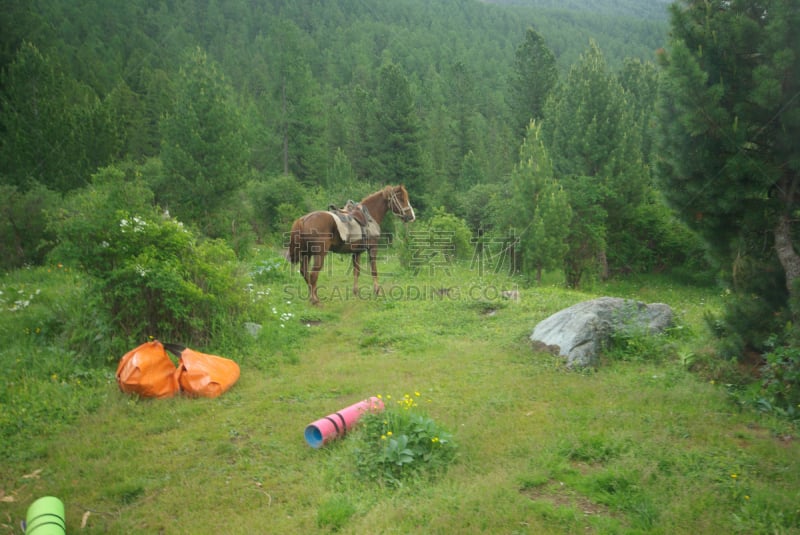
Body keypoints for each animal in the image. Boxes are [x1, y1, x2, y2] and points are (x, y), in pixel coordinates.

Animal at [288, 184, 416, 304]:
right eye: (402, 198)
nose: (411, 216)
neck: (369, 217)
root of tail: (303, 220)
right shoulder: (373, 248)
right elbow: (374, 270)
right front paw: (377, 291)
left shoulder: (356, 252)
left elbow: (356, 271)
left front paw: (356, 292)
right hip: (319, 254)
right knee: (313, 275)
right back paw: (315, 300)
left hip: (307, 254)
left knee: (304, 272)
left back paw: (311, 298)